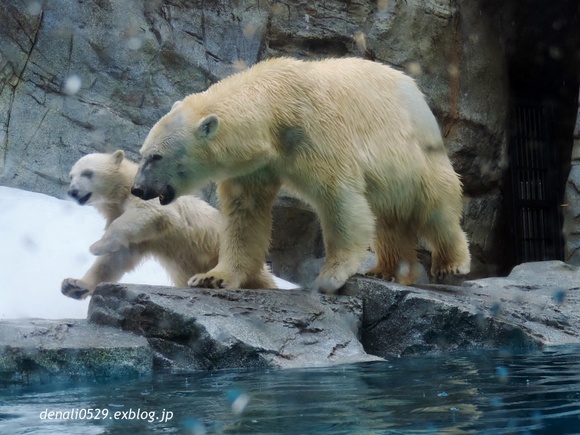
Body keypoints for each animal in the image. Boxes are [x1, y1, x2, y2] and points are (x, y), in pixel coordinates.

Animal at [133, 57, 472, 292]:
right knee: (388, 218)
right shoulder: (255, 164)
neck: (275, 104)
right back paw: (387, 270)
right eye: (142, 152)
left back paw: (450, 265)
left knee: (434, 204)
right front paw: (212, 277)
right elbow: (245, 213)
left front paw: (331, 276)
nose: (138, 189)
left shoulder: (314, 131)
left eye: (157, 156)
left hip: (417, 151)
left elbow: (339, 197)